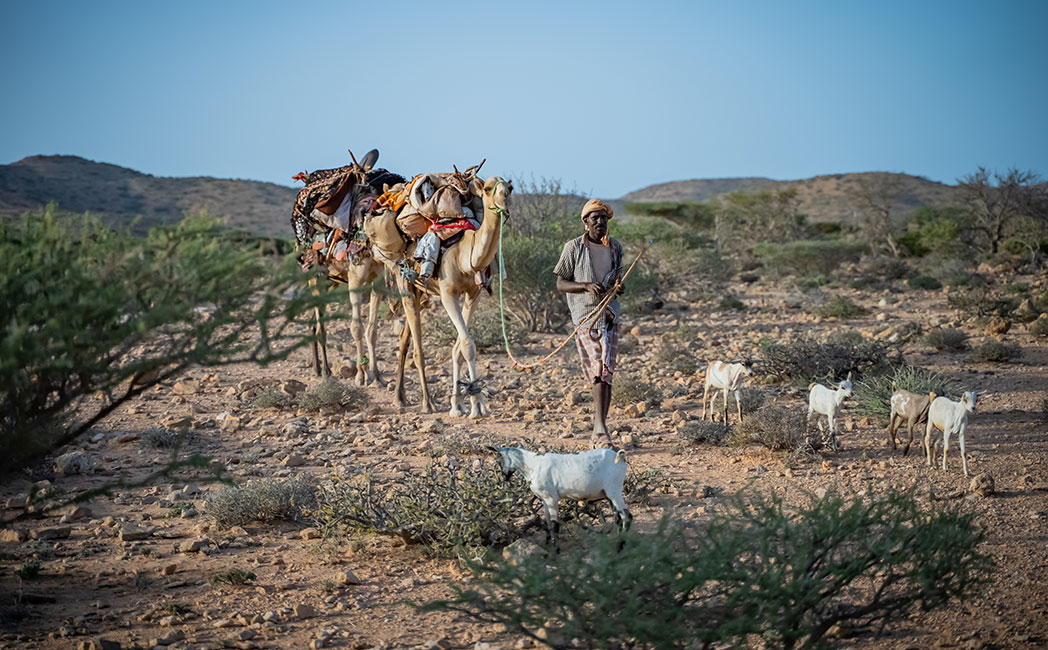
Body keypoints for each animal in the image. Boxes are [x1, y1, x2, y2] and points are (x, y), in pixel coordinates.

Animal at [489, 446, 631, 549]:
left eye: (499, 460)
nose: (504, 477)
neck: (533, 464)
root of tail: (618, 457)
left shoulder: (551, 499)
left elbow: (554, 525)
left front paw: (555, 551)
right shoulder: (544, 500)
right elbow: (547, 523)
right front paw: (547, 548)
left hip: (614, 490)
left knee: (626, 516)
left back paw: (620, 547)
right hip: (608, 495)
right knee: (618, 518)